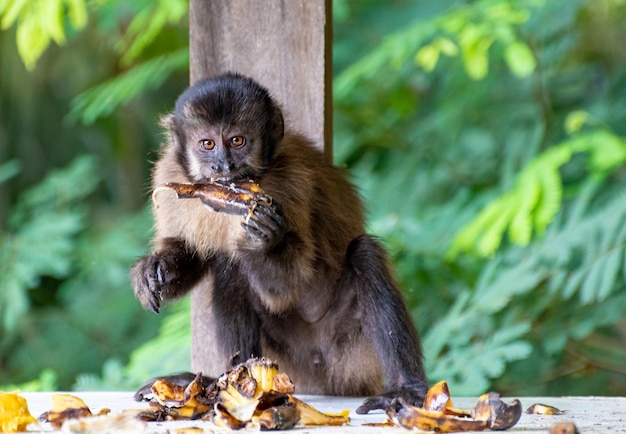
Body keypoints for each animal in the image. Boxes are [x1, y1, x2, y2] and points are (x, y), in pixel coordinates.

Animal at [129, 72, 426, 414]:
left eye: (237, 141)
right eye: (208, 144)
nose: (224, 166)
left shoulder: (291, 184)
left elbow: (286, 284)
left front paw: (267, 238)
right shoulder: (170, 172)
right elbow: (188, 250)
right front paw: (154, 269)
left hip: (347, 352)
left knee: (364, 255)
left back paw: (405, 388)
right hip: (287, 356)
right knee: (230, 267)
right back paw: (228, 379)